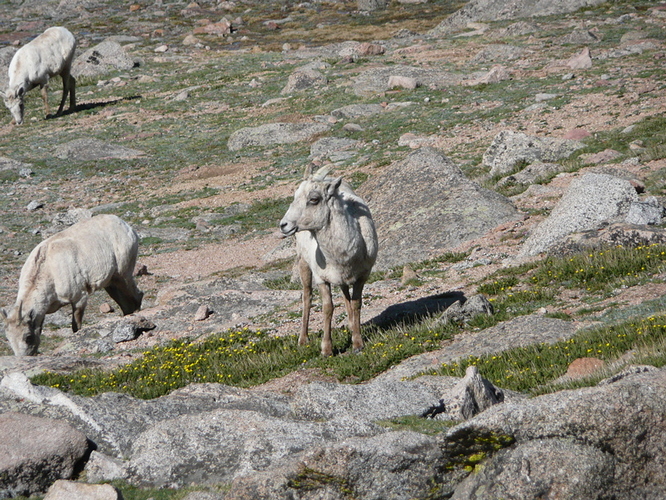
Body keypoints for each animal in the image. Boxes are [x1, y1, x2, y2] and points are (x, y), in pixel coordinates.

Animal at [2, 214, 143, 356]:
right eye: (8, 338)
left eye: (28, 337)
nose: (23, 357)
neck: (48, 270)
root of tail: (126, 227)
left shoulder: (79, 297)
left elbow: (76, 327)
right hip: (111, 283)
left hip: (123, 274)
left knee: (137, 296)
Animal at [279, 166, 378, 356]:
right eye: (295, 196)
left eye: (314, 199)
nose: (283, 225)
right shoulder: (321, 279)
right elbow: (328, 308)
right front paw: (326, 350)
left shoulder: (362, 276)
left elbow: (356, 304)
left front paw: (357, 344)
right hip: (303, 263)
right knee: (307, 296)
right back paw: (303, 340)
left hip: (342, 279)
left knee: (346, 296)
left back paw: (350, 326)